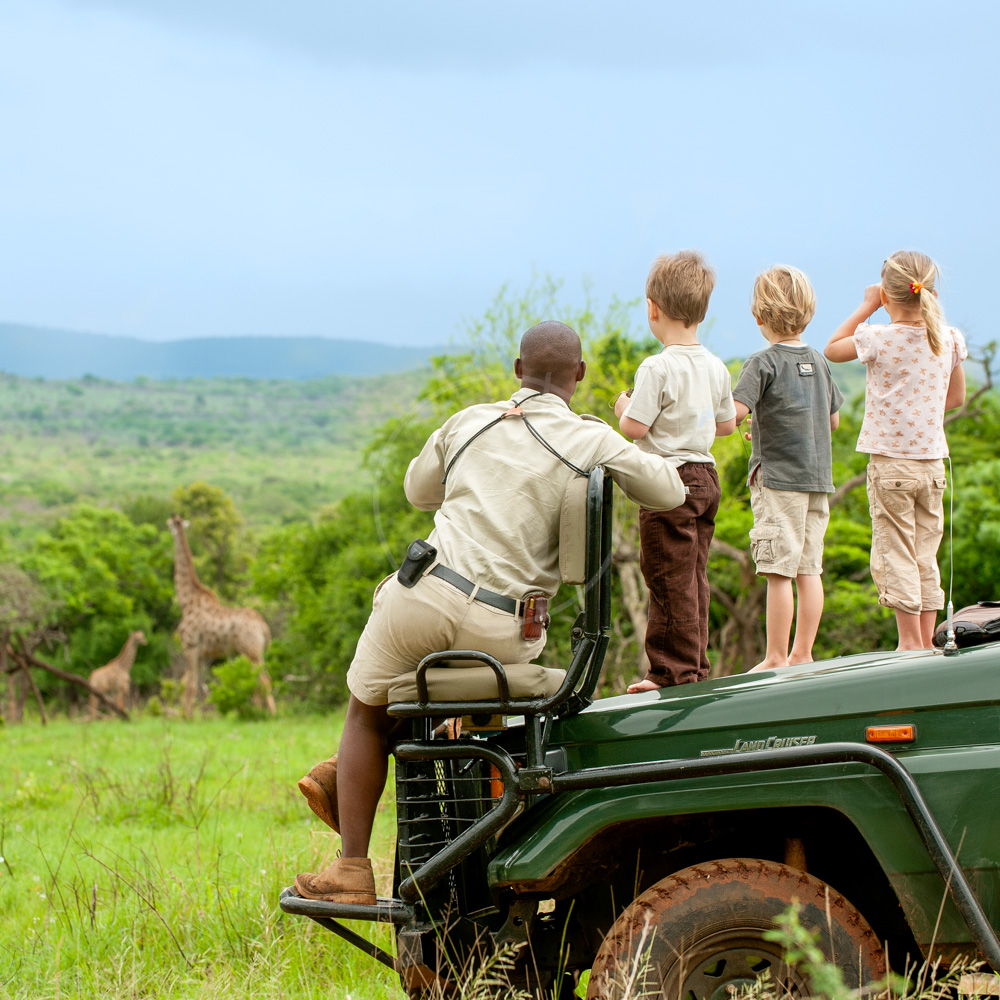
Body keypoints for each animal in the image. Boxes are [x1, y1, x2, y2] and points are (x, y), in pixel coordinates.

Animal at [167, 516, 278, 720]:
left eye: (170, 524)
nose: (168, 525)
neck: (186, 601)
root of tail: (264, 628)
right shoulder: (201, 653)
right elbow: (187, 681)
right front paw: (186, 715)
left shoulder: (190, 646)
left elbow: (190, 683)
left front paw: (187, 718)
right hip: (253, 652)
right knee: (257, 679)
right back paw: (258, 712)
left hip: (251, 651)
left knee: (264, 679)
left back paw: (272, 715)